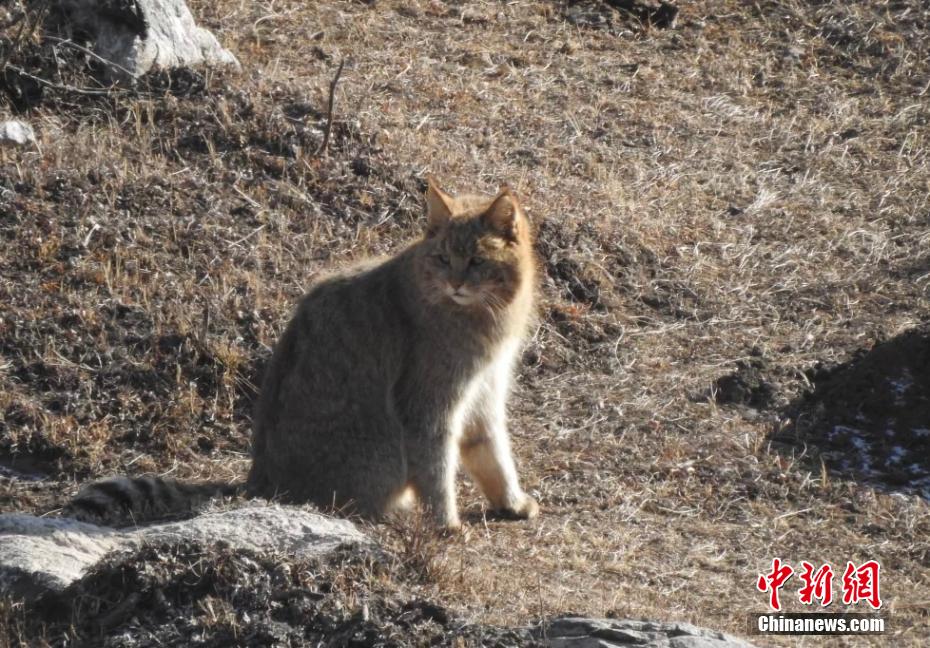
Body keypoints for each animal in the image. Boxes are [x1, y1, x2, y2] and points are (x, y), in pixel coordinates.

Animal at [65, 178, 536, 532]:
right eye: (442, 258)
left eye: (475, 261)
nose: (455, 283)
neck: (483, 319)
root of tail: (258, 482)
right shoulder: (428, 405)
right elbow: (438, 470)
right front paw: (446, 525)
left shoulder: (485, 391)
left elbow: (493, 454)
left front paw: (511, 501)